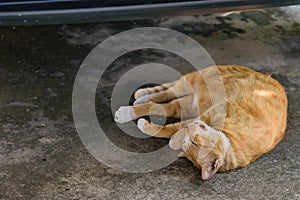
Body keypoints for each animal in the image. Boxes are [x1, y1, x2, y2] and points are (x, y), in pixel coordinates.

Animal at [113, 65, 288, 180]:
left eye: (194, 142)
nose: (192, 126)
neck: (231, 140)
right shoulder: (209, 112)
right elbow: (173, 129)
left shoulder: (193, 114)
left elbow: (170, 131)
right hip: (191, 83)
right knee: (169, 90)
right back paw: (136, 101)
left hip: (185, 104)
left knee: (164, 102)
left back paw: (141, 100)